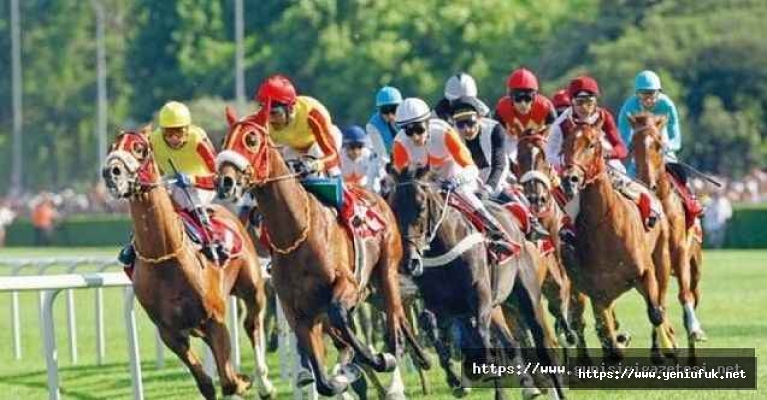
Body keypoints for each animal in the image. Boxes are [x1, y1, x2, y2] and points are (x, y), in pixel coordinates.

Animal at [100, 128, 272, 400]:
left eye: (139, 148)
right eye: (111, 147)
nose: (111, 172)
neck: (165, 257)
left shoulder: (214, 319)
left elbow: (228, 381)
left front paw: (244, 381)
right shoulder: (169, 332)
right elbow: (206, 383)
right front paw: (236, 381)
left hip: (251, 287)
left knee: (252, 324)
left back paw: (264, 382)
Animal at [216, 108, 432, 396]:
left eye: (251, 139)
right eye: (224, 141)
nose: (225, 182)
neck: (296, 234)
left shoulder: (347, 284)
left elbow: (340, 314)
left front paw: (376, 359)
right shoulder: (298, 313)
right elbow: (324, 381)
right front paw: (344, 375)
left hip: (384, 270)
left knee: (395, 320)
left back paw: (400, 364)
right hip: (366, 290)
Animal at [390, 168, 564, 400]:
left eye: (421, 207)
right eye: (393, 209)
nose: (409, 262)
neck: (444, 247)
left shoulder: (479, 295)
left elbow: (481, 336)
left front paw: (477, 369)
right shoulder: (442, 305)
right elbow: (431, 322)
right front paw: (453, 376)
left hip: (527, 294)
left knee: (542, 344)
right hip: (498, 307)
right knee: (511, 343)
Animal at [560, 121, 680, 360]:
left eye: (592, 144)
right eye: (565, 144)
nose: (570, 179)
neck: (605, 227)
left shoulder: (645, 273)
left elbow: (655, 313)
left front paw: (666, 347)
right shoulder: (598, 293)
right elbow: (607, 339)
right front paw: (619, 342)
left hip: (661, 261)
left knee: (660, 304)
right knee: (583, 321)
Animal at [632, 111, 708, 354]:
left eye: (658, 144)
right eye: (633, 144)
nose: (649, 184)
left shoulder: (678, 249)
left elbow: (683, 295)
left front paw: (694, 329)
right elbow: (657, 301)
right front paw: (660, 344)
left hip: (695, 264)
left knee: (693, 293)